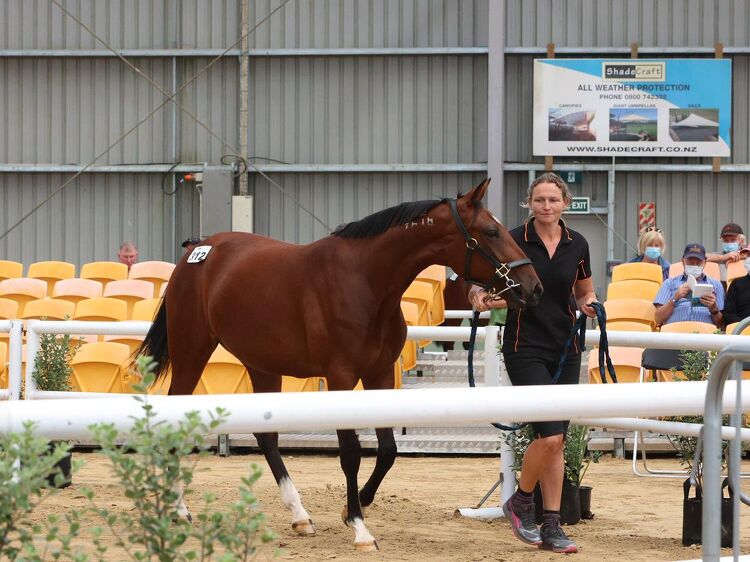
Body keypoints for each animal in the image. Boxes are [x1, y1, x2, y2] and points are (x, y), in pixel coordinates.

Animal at [137, 178, 542, 551]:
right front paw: (361, 529)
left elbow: (388, 449)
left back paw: (300, 516)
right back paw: (180, 510)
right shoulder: (341, 376)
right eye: (491, 232)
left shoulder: (379, 373)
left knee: (267, 437)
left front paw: (354, 506)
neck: (365, 280)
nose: (532, 287)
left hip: (262, 363)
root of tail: (198, 251)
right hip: (193, 351)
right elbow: (350, 452)